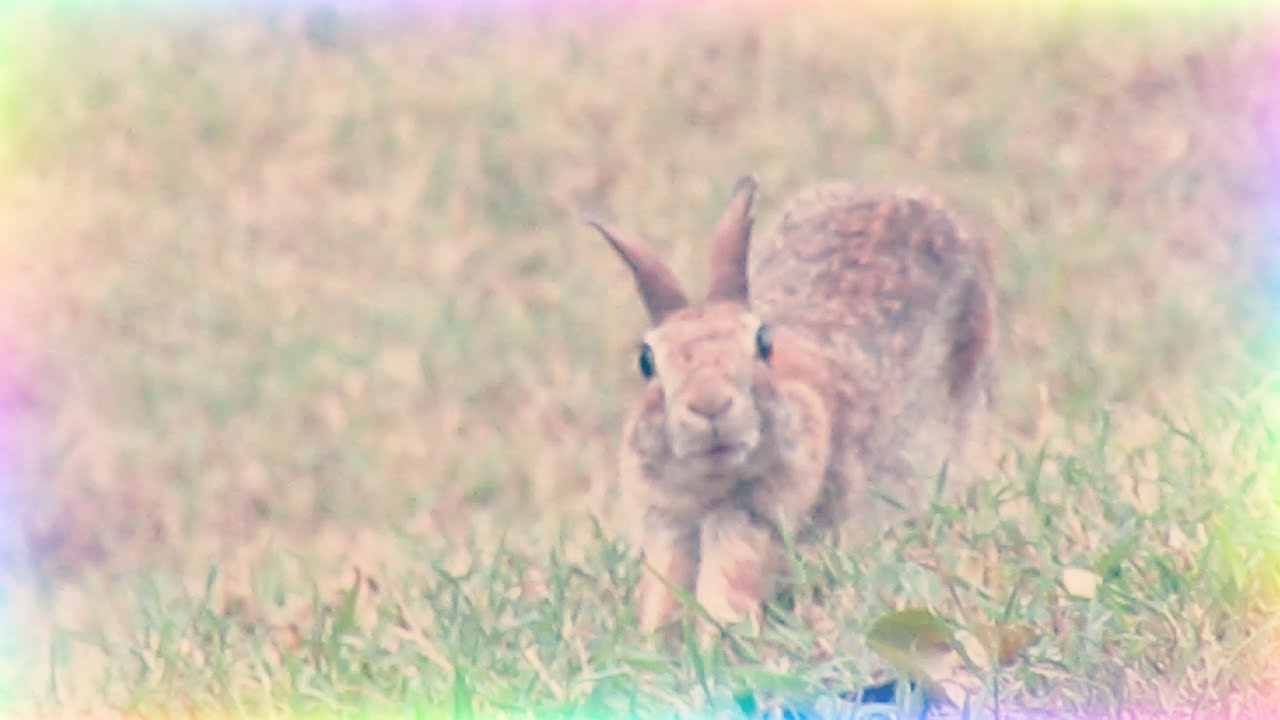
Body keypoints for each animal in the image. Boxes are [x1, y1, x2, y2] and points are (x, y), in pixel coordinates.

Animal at [585, 175, 996, 631]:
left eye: (763, 342)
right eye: (646, 360)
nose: (710, 405)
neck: (711, 489)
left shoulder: (752, 522)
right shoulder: (666, 525)